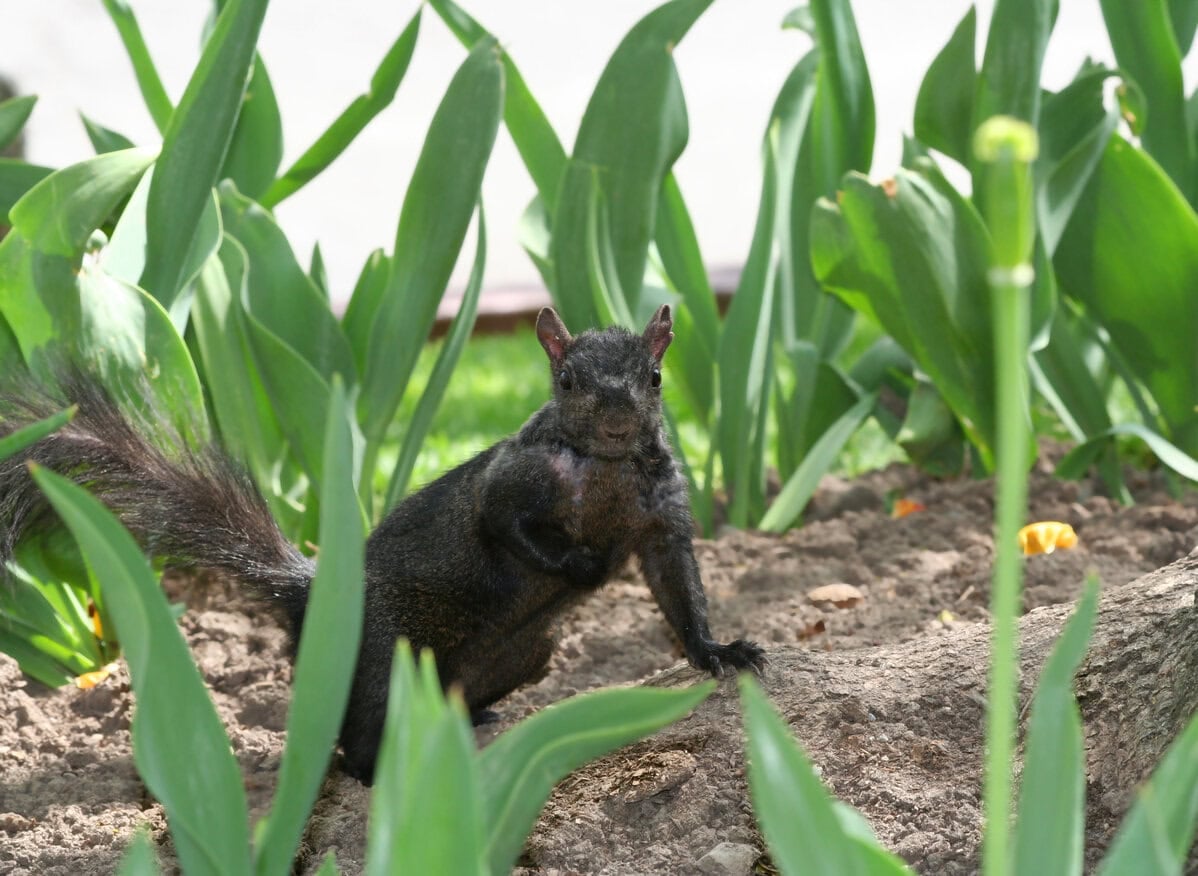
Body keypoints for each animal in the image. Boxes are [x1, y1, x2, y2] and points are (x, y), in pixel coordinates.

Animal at [0, 304, 765, 782]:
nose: (614, 416)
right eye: (567, 379)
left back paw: (471, 718)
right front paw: (579, 565)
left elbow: (679, 590)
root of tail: (316, 592)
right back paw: (379, 768)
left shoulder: (662, 521)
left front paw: (719, 651)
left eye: (654, 378)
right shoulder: (508, 484)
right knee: (356, 736)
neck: (604, 469)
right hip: (374, 658)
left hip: (525, 655)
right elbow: (507, 528)